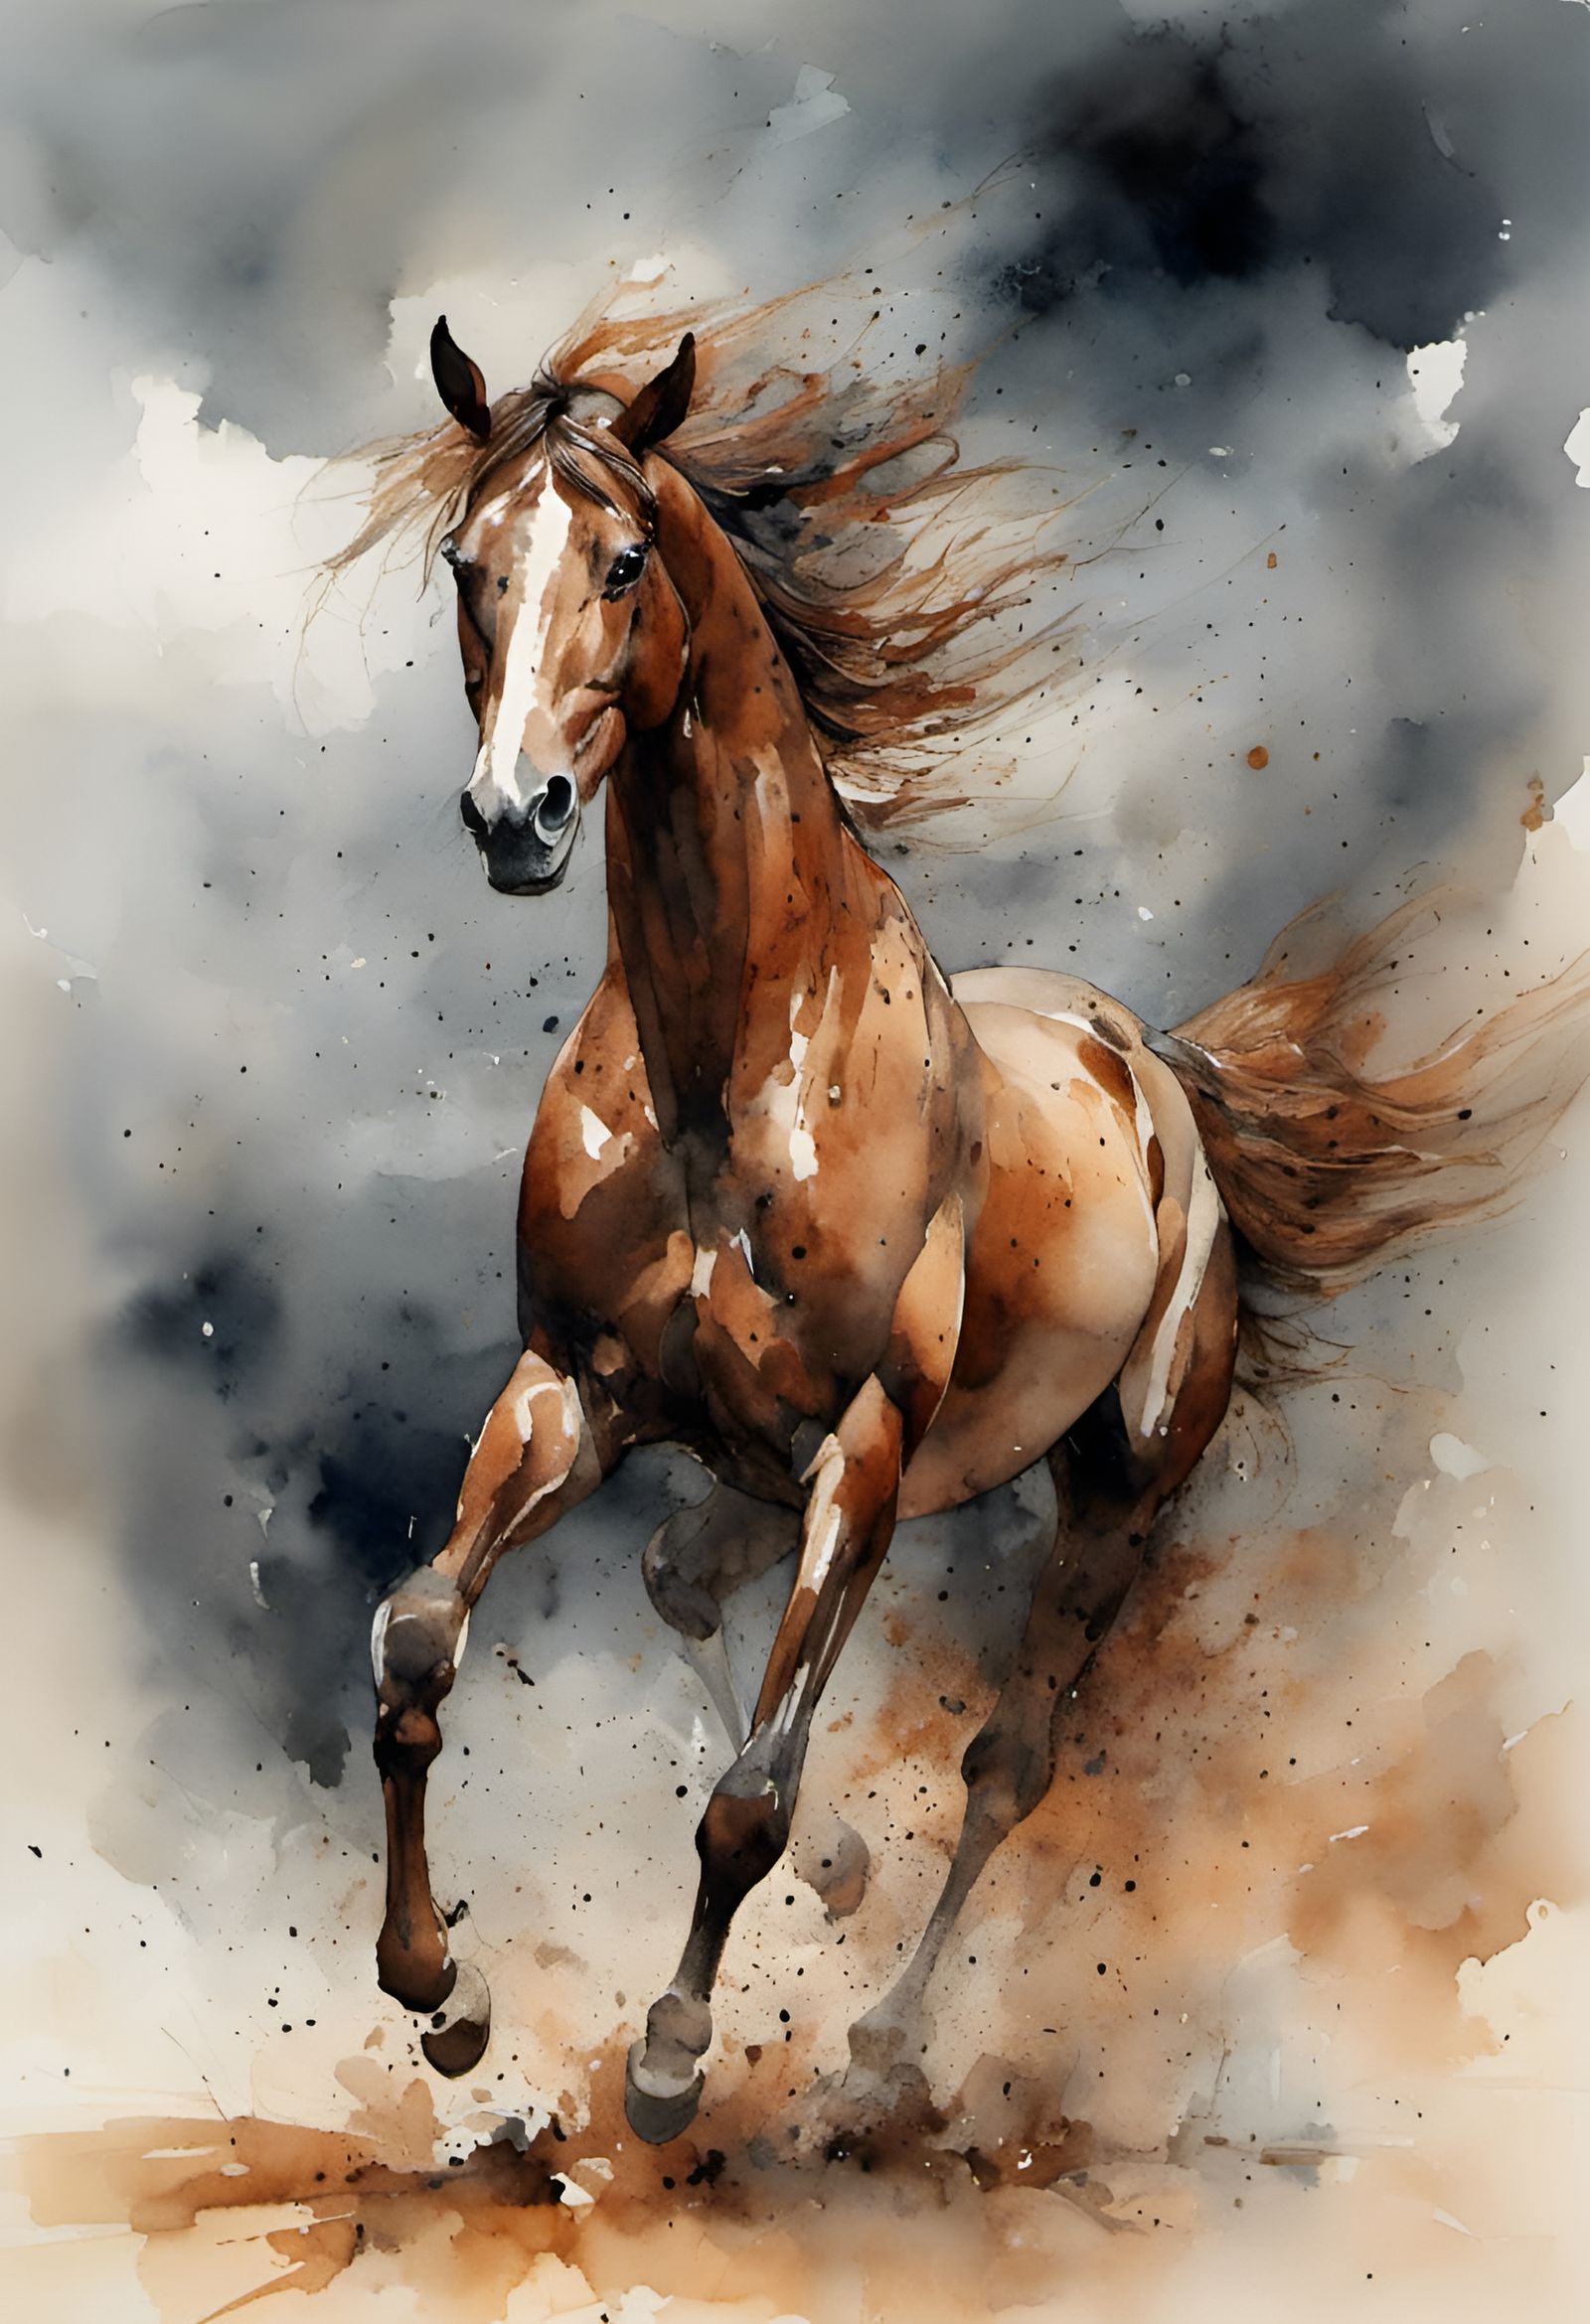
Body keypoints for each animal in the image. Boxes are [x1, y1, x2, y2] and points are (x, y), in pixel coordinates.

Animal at [351, 304, 1586, 2145]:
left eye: (626, 558)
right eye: (464, 559)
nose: (519, 815)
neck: (733, 1060)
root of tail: (1155, 1065)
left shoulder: (863, 1446)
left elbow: (752, 1791)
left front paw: (669, 2049)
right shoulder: (573, 1388)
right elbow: (419, 1641)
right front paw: (443, 1991)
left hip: (1106, 1489)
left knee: (1007, 1760)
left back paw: (883, 2043)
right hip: (764, 1472)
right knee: (677, 1575)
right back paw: (850, 1892)